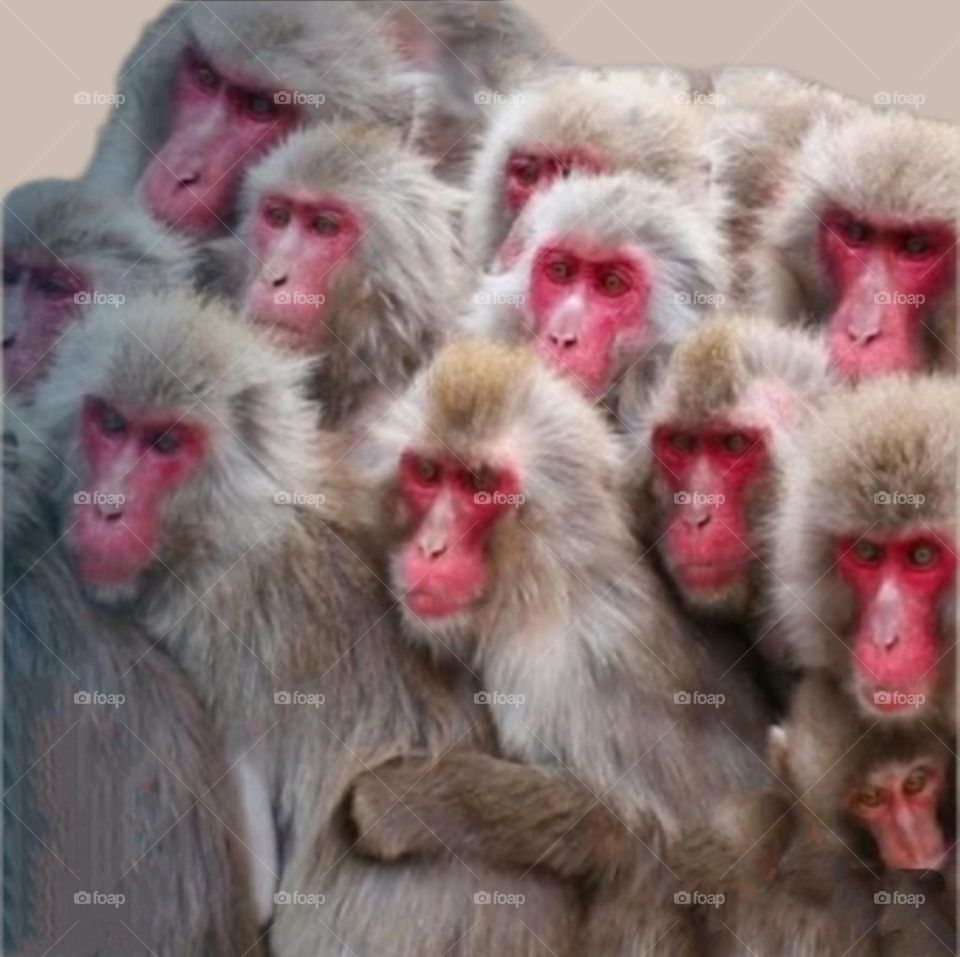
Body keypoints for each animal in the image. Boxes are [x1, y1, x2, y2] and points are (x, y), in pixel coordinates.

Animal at [29, 290, 578, 957]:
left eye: (164, 443)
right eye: (110, 424)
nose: (105, 508)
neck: (229, 520)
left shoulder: (209, 620)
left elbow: (257, 884)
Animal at [349, 338, 776, 954]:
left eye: (479, 483)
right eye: (428, 472)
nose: (431, 548)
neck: (543, 576)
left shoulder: (559, 667)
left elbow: (643, 834)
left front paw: (410, 801)